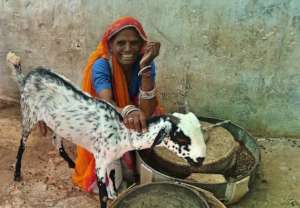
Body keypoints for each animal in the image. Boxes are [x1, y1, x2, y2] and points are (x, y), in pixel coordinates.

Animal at [5, 52, 206, 208]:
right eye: (181, 138)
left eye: (199, 131)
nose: (201, 159)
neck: (122, 132)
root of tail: (27, 77)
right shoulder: (100, 161)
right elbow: (102, 193)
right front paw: (107, 197)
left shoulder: (110, 159)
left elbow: (112, 177)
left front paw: (114, 195)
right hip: (29, 114)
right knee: (22, 144)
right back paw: (17, 174)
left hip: (58, 124)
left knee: (57, 143)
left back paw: (71, 164)